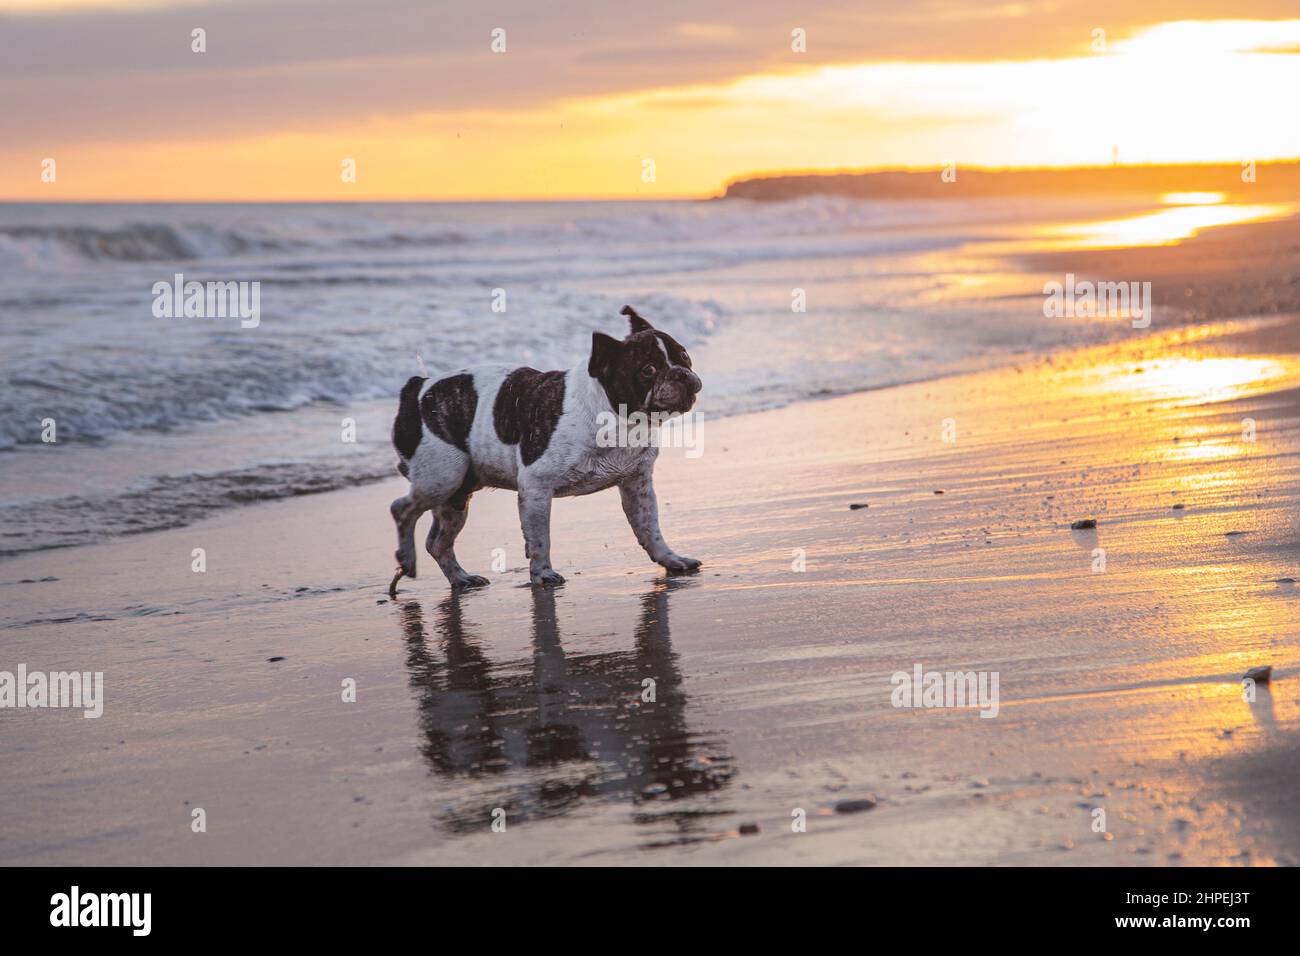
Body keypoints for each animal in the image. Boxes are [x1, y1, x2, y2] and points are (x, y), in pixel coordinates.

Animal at [387, 306, 702, 595]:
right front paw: (543, 573)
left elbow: (650, 528)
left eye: (684, 356)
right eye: (648, 370)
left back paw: (460, 578)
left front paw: (670, 559)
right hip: (442, 477)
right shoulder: (536, 487)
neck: (615, 417)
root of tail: (416, 388)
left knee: (438, 542)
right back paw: (408, 558)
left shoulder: (637, 486)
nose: (681, 374)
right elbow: (539, 538)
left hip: (455, 496)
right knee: (402, 509)